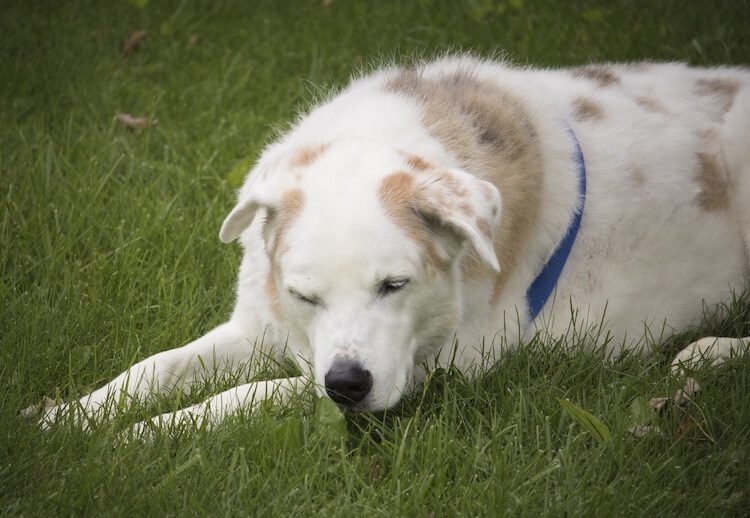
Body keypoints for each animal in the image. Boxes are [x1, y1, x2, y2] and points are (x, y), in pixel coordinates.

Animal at [25, 55, 750, 434]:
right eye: (305, 294)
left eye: (394, 285)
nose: (348, 384)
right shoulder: (260, 325)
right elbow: (154, 368)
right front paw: (69, 419)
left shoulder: (433, 372)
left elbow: (253, 395)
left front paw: (147, 435)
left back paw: (709, 352)